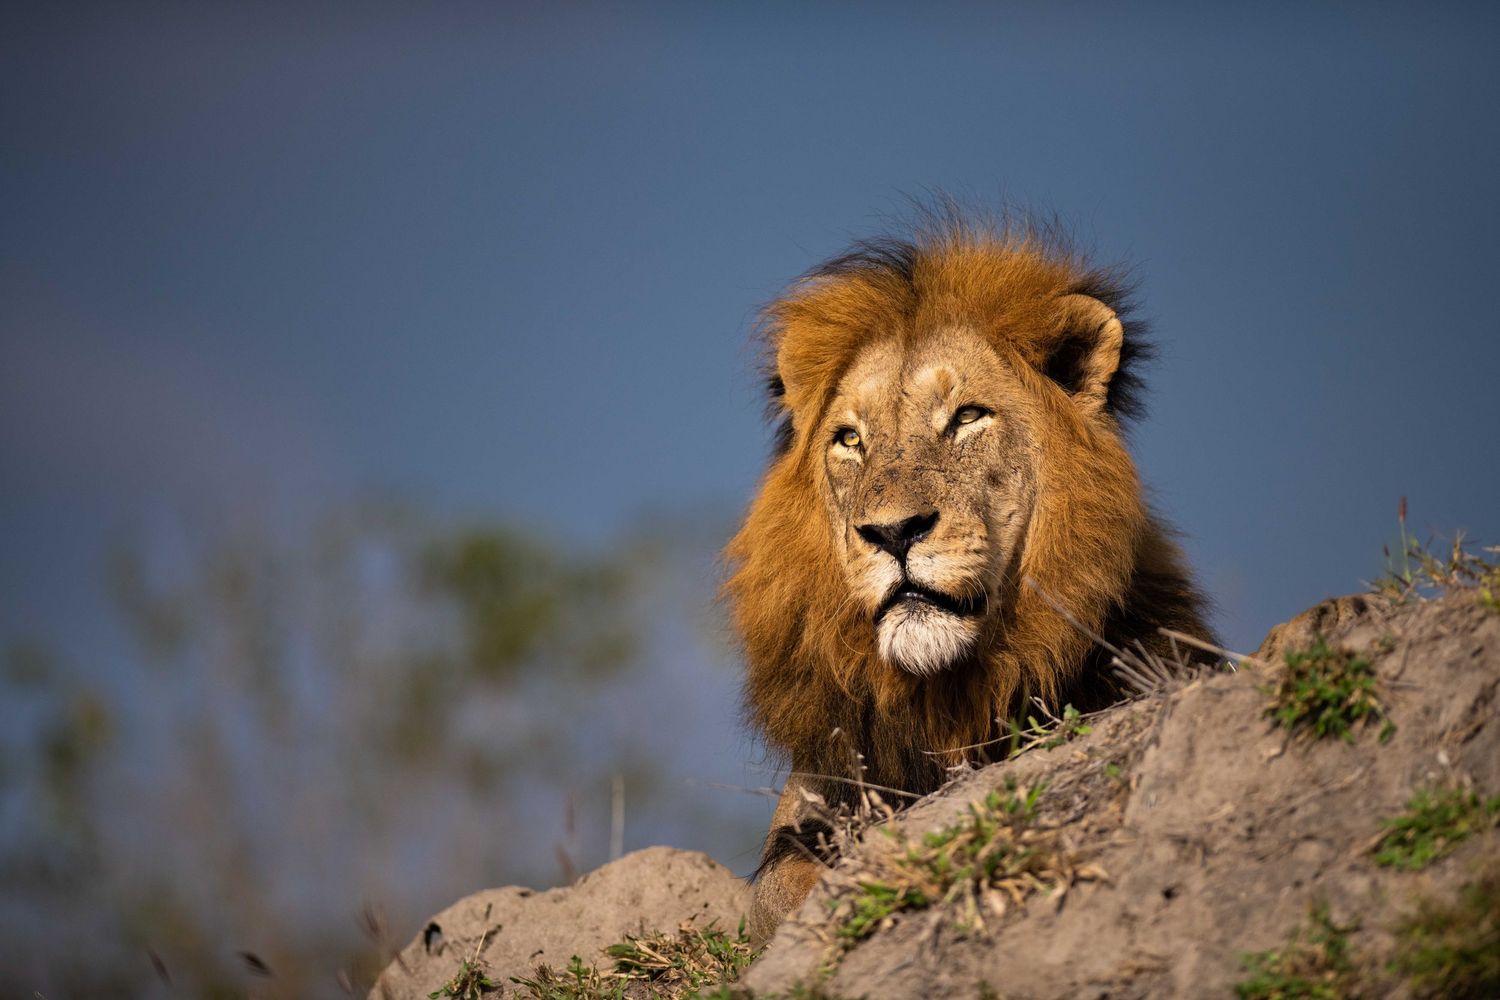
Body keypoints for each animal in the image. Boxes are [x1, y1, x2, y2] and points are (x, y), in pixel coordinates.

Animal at [723, 213, 1215, 942]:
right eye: (850, 440)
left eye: (966, 417)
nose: (894, 532)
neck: (949, 697)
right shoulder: (802, 822)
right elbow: (789, 885)